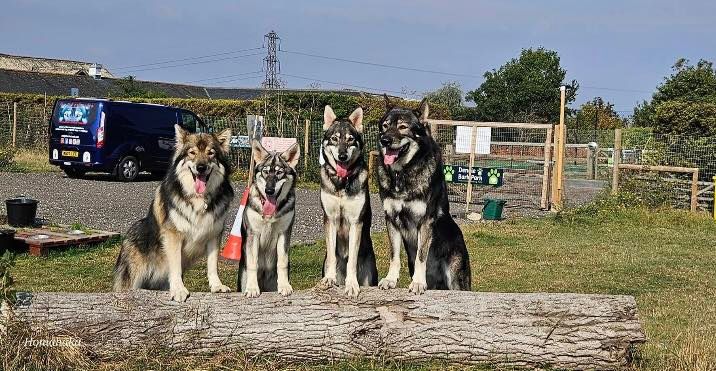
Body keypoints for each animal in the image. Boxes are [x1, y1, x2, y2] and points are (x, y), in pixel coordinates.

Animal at [113, 125, 234, 302]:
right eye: (192, 153)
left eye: (211, 153)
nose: (201, 167)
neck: (198, 199)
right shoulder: (173, 236)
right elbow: (175, 265)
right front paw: (178, 289)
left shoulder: (214, 235)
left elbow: (212, 265)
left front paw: (217, 286)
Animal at [238, 140, 300, 300]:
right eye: (266, 172)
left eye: (279, 172)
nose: (269, 191)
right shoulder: (253, 234)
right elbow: (253, 264)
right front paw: (252, 288)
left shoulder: (284, 234)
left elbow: (282, 263)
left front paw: (285, 286)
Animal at [316, 105, 378, 300]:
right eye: (334, 139)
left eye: (351, 139)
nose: (342, 156)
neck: (342, 183)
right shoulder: (330, 219)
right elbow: (332, 256)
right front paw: (329, 278)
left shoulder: (356, 222)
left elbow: (352, 259)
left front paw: (351, 284)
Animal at [374, 96, 470, 296]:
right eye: (385, 126)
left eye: (403, 127)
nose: (384, 140)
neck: (402, 174)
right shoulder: (391, 220)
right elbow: (394, 255)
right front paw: (390, 279)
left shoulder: (425, 221)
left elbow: (421, 256)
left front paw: (418, 283)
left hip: (455, 277)